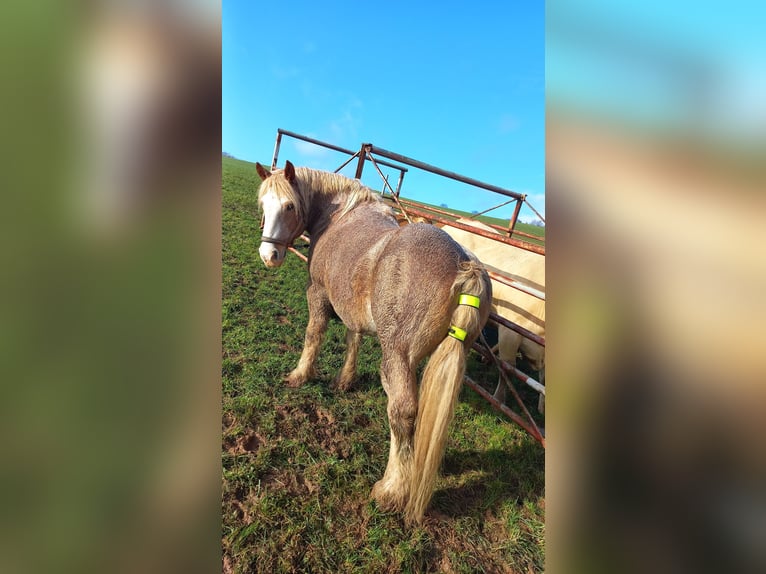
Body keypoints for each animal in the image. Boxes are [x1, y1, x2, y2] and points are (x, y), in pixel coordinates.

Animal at [255, 159, 488, 528]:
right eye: (263, 205)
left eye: (289, 206)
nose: (269, 255)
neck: (339, 216)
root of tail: (464, 265)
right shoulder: (352, 306)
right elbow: (354, 338)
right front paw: (344, 381)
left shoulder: (318, 292)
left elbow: (314, 334)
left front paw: (299, 375)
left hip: (398, 357)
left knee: (402, 412)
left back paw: (391, 490)